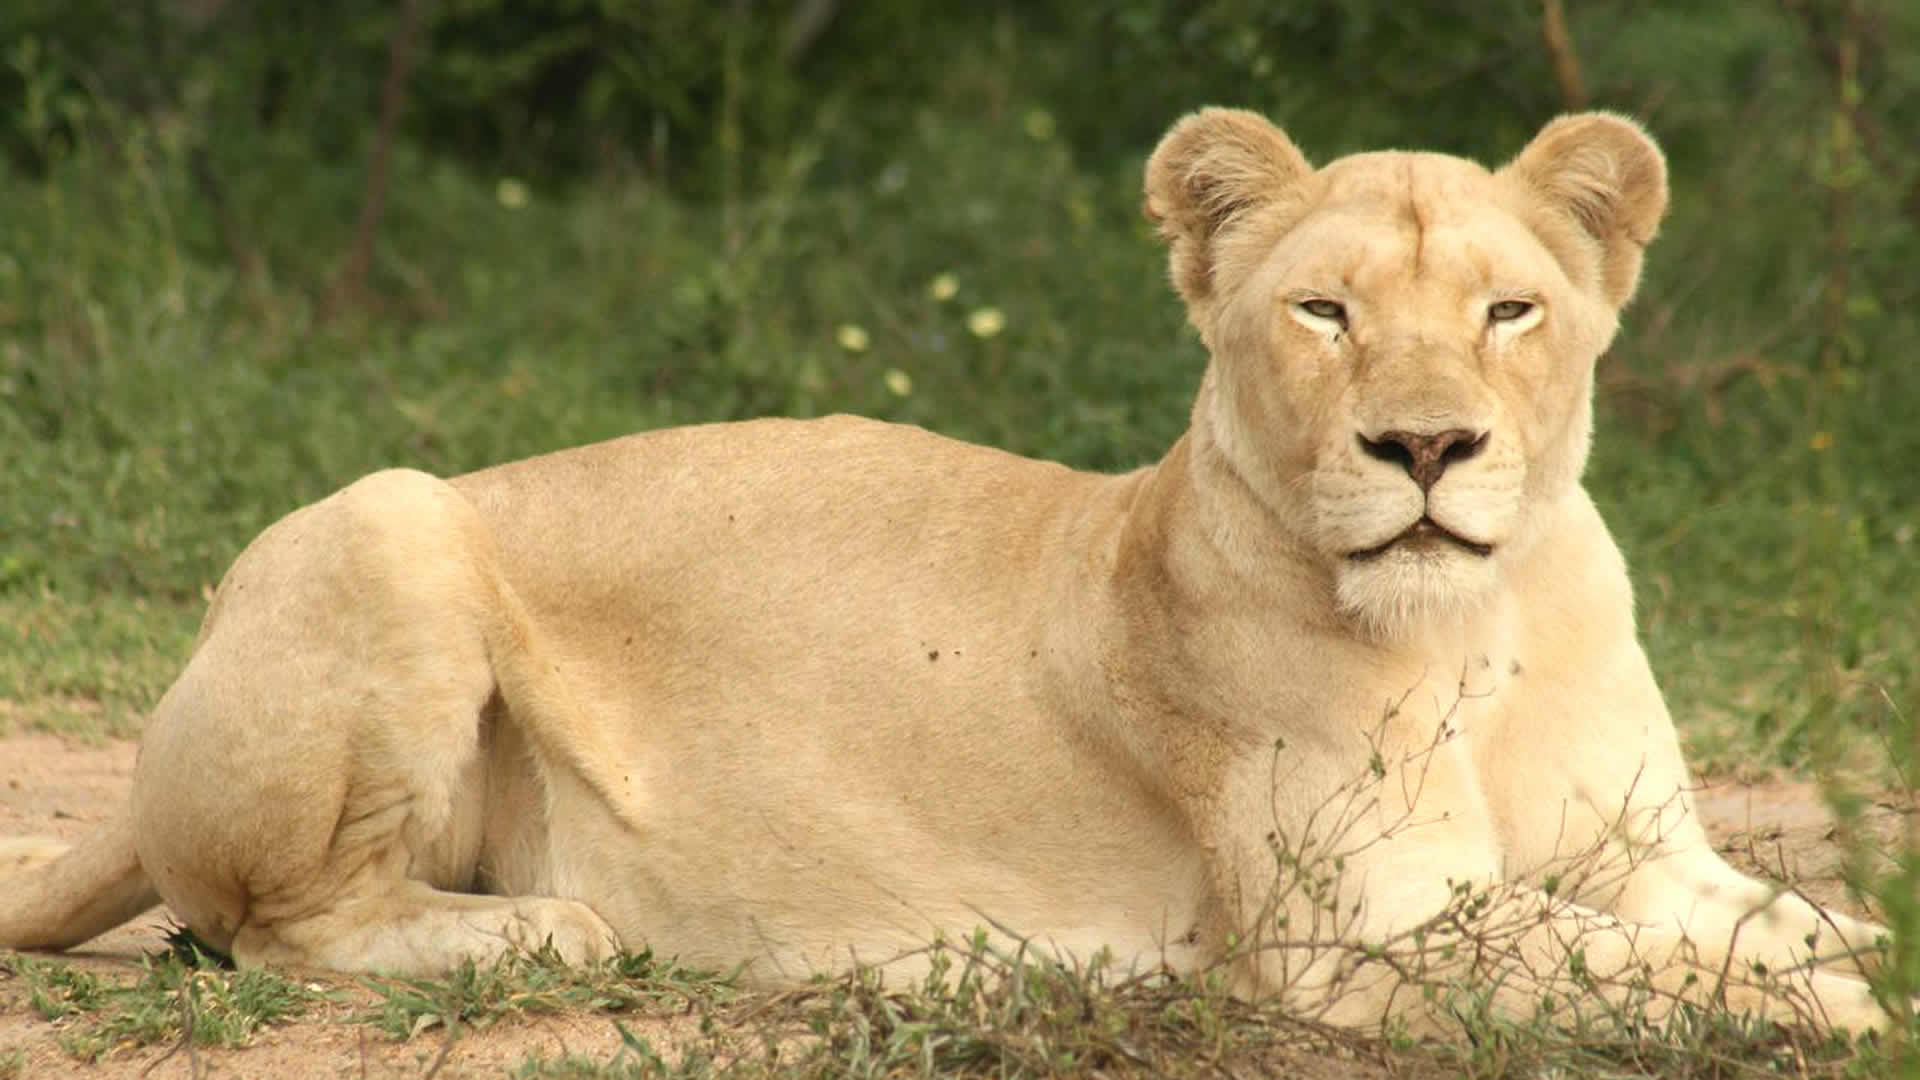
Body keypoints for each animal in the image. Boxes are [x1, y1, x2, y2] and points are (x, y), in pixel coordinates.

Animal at [0, 109, 1893, 1034]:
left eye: (1509, 310)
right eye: (1323, 311)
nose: (1425, 450)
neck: (1481, 623)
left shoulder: (1651, 850)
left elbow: (1755, 912)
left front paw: (1836, 944)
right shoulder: (1348, 926)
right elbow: (1622, 962)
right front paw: (1834, 1004)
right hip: (388, 513)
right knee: (272, 925)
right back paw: (560, 929)